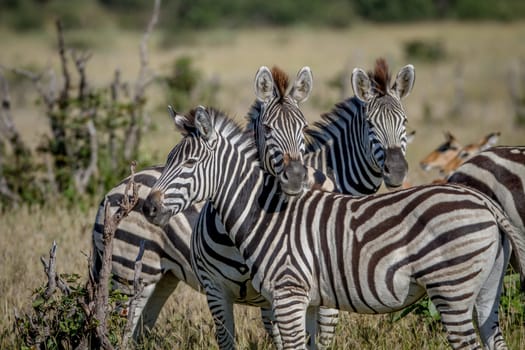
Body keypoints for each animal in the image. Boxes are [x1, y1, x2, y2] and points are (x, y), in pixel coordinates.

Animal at [142, 106, 524, 350]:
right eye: (170, 160)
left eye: (190, 163)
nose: (148, 207)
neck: (266, 215)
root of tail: (484, 202)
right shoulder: (309, 299)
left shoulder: (288, 295)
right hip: (486, 291)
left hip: (452, 289)